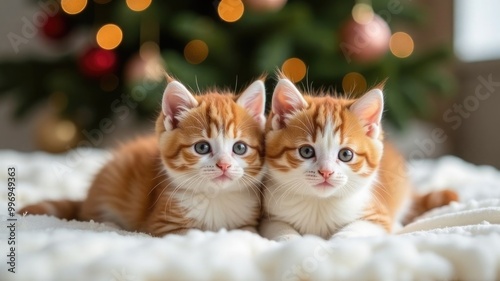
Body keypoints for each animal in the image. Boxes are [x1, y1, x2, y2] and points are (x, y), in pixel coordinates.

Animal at [19, 75, 268, 235]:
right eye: (202, 148)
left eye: (239, 148)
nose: (224, 165)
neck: (216, 197)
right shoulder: (162, 224)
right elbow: (192, 234)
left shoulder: (247, 222)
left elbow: (246, 234)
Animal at [260, 77, 458, 240]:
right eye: (306, 151)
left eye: (346, 154)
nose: (326, 172)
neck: (319, 204)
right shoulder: (269, 216)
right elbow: (279, 230)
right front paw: (294, 242)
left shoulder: (377, 215)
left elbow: (354, 231)